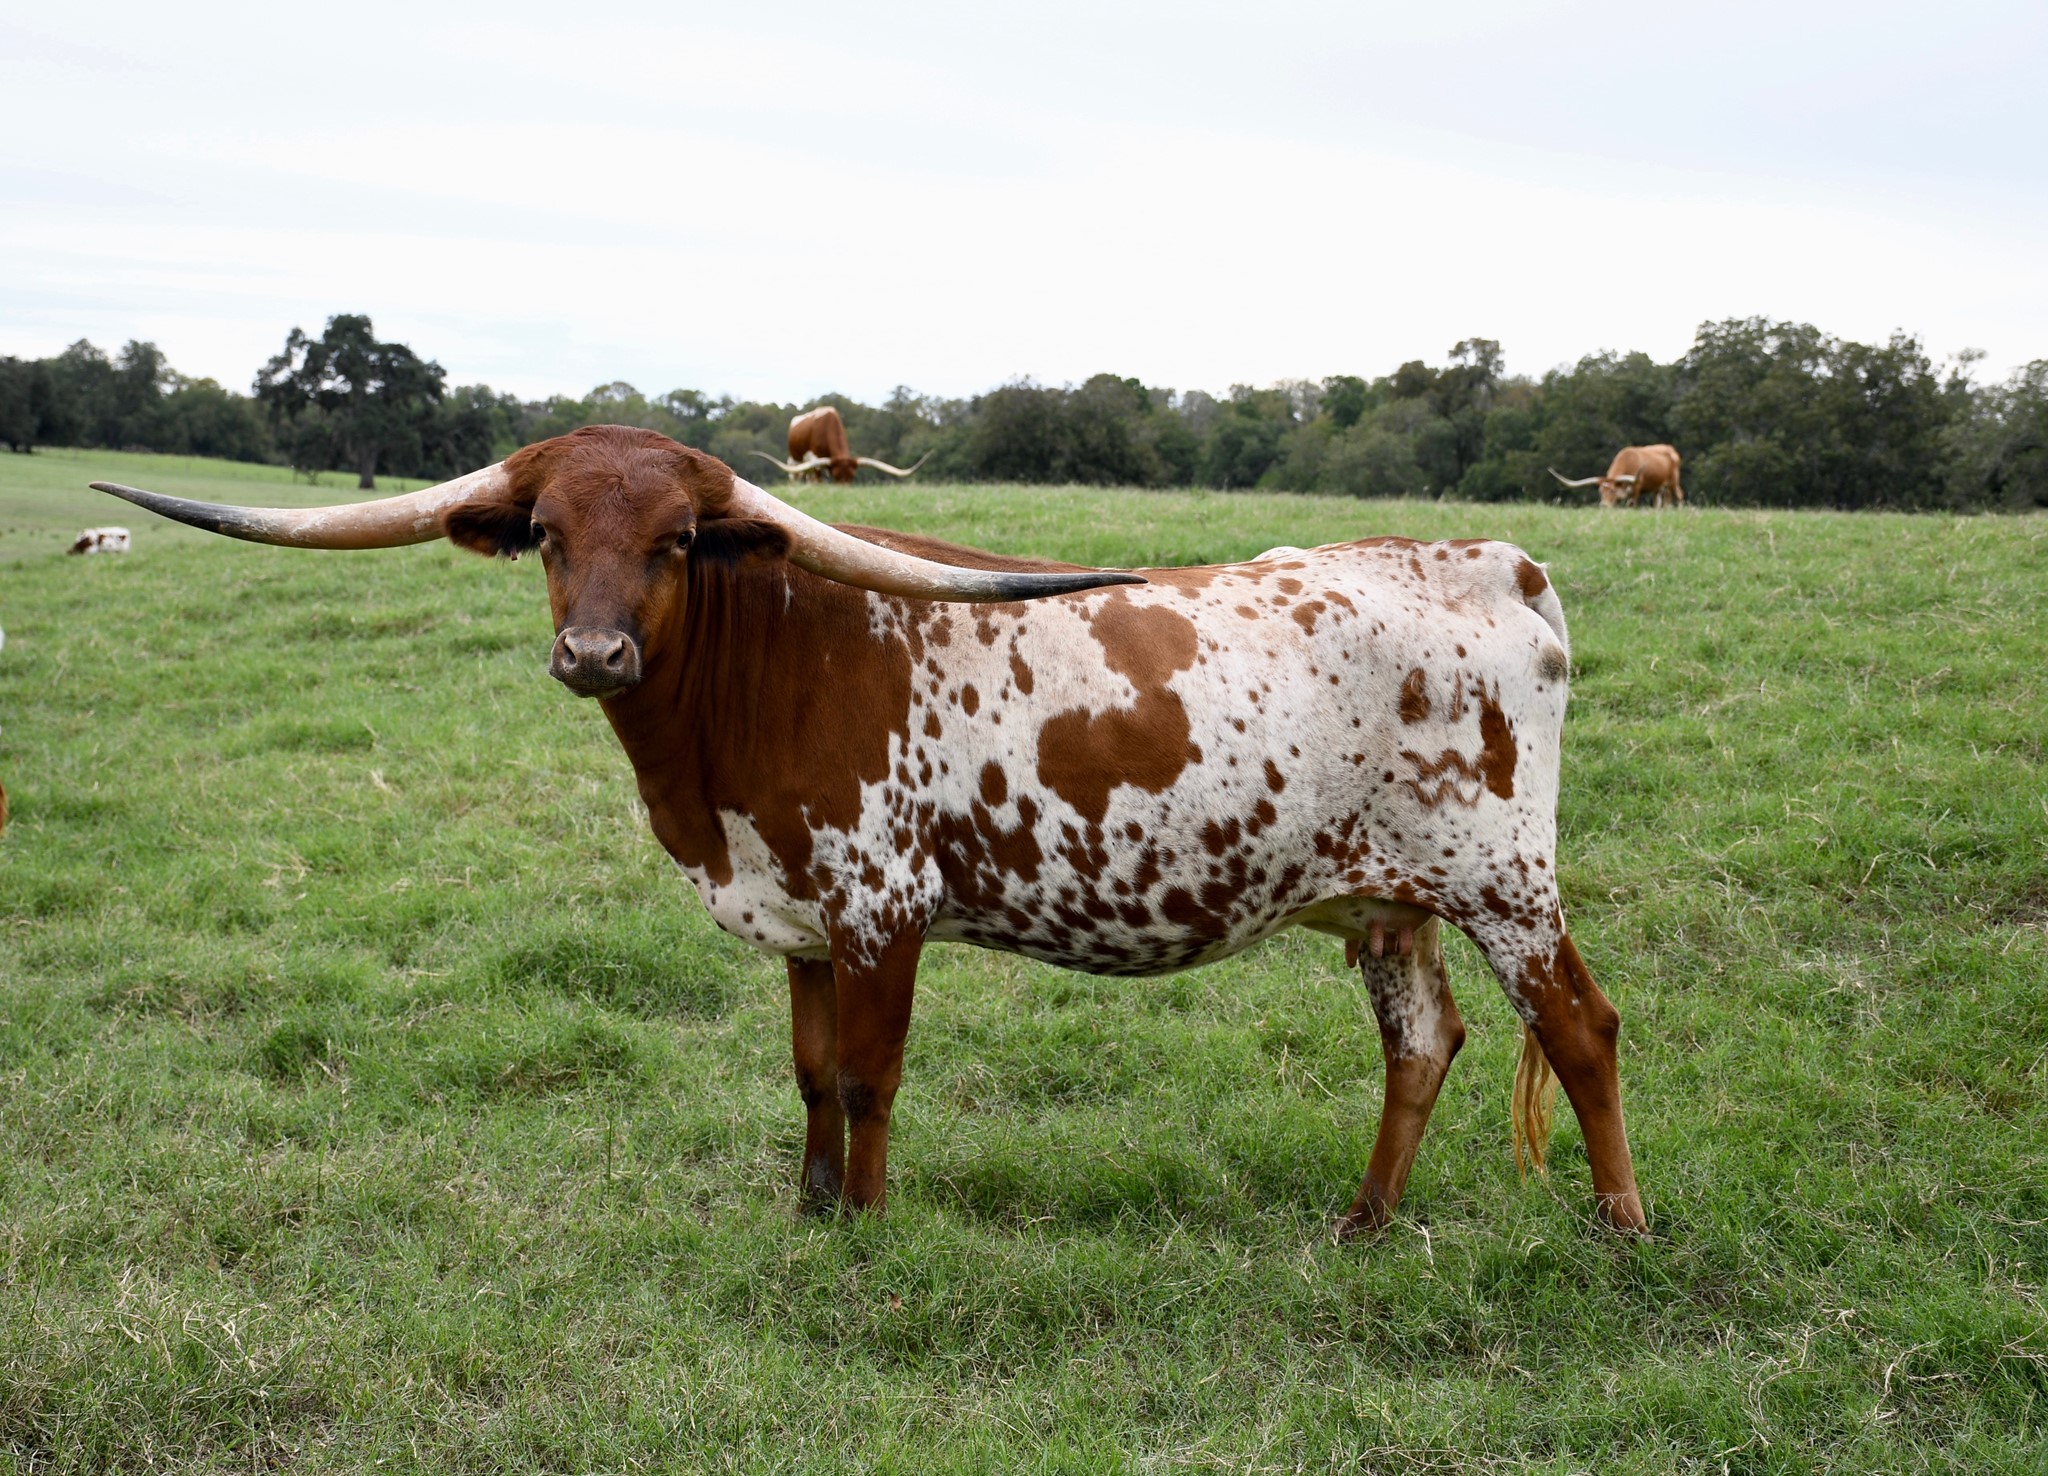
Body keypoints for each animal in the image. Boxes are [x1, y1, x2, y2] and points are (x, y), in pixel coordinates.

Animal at [91, 425, 1647, 1236]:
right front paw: (808, 1209)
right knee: (1422, 1043)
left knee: (1579, 1028)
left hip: (1504, 880)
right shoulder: (793, 915)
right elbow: (804, 1075)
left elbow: (869, 1075)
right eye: (545, 534)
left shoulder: (881, 905)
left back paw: (1620, 1225)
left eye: (674, 542)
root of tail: (1490, 560)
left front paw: (871, 1228)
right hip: (1385, 899)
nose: (593, 653)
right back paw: (1362, 1225)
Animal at [752, 405, 929, 484]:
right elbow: (817, 480)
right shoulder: (815, 459)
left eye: (852, 477)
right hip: (794, 459)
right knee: (795, 477)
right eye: (836, 476)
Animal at [1549, 446, 1685, 508]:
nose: (1603, 506)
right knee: (1660, 501)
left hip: (1673, 482)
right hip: (1658, 488)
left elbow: (1631, 505)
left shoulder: (1636, 489)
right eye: (1600, 491)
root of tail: (1670, 449)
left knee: (1678, 495)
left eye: (1612, 491)